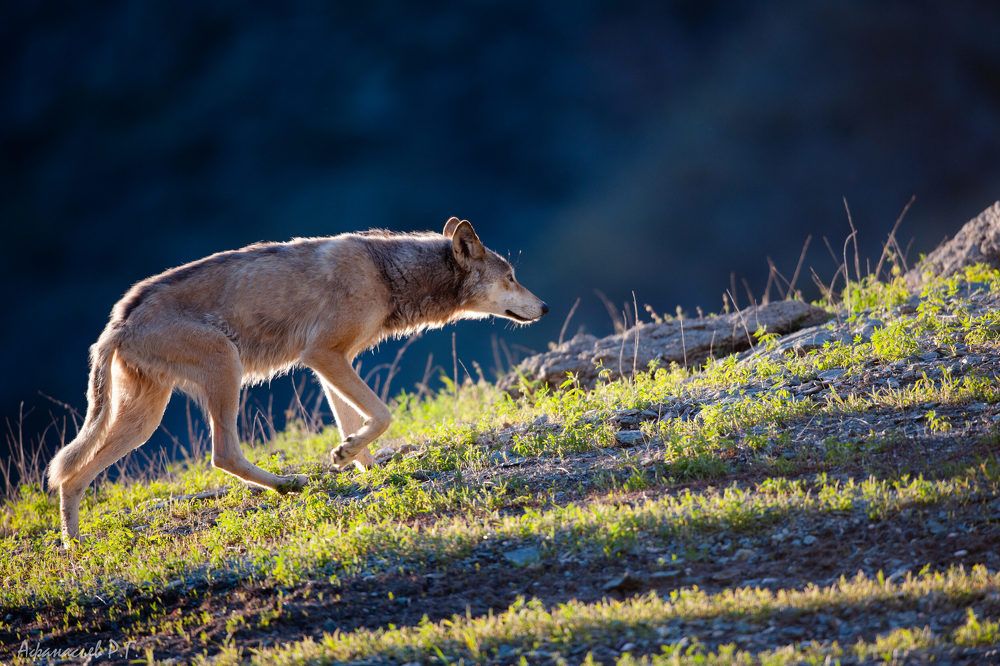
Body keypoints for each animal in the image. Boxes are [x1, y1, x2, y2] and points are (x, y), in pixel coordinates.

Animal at [47, 218, 548, 547]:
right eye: (511, 277)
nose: (545, 307)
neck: (386, 273)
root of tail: (119, 320)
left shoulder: (332, 362)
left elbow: (358, 424)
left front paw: (363, 465)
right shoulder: (323, 355)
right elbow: (383, 414)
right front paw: (345, 455)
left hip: (144, 418)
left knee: (70, 472)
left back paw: (74, 548)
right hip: (223, 370)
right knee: (222, 454)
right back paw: (288, 485)